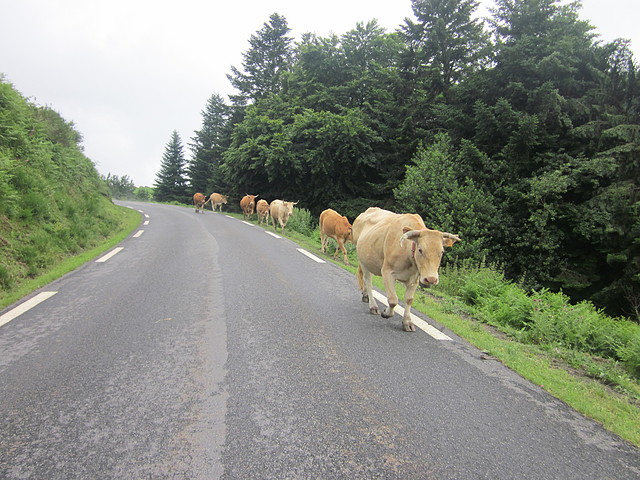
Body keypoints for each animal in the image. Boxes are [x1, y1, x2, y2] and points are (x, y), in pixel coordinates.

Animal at [350, 206, 460, 334]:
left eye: (442, 252)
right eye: (420, 249)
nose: (431, 279)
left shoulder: (415, 279)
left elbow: (409, 300)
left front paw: (407, 322)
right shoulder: (387, 272)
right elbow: (393, 299)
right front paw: (386, 313)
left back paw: (366, 296)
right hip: (363, 261)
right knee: (368, 281)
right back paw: (373, 306)